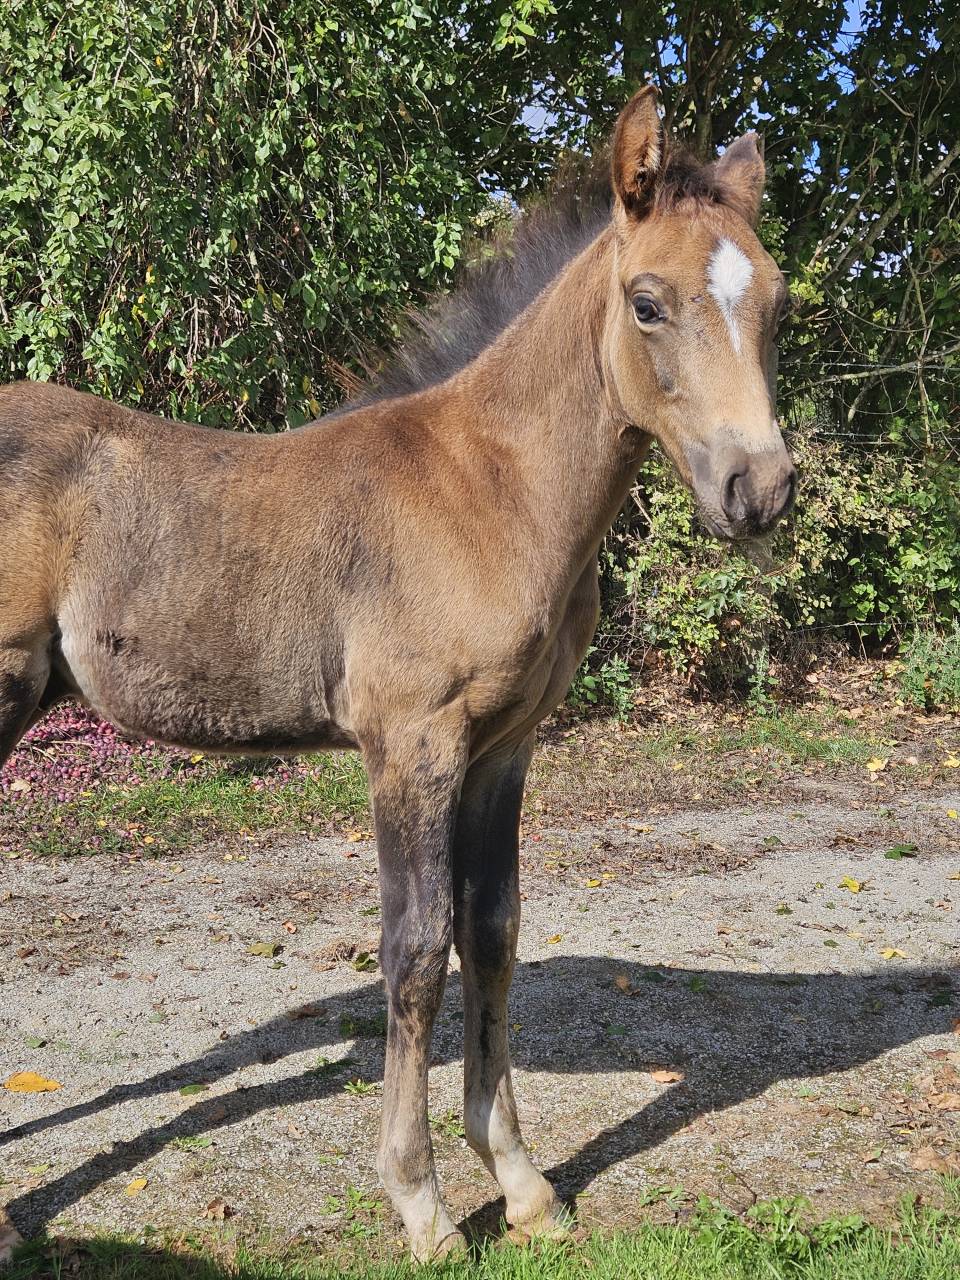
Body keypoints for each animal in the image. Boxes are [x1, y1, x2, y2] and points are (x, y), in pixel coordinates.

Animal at [0, 88, 794, 1259]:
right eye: (648, 303)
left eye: (775, 300)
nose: (760, 489)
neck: (491, 487)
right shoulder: (411, 743)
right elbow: (416, 949)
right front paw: (423, 1205)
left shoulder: (505, 746)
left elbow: (492, 932)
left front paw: (523, 1185)